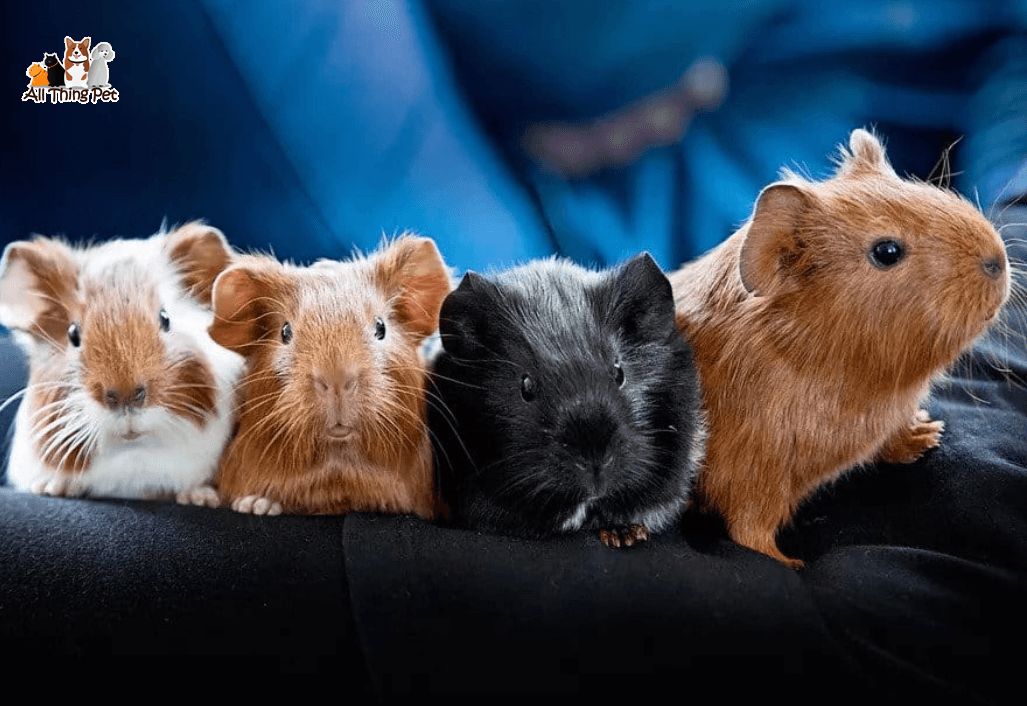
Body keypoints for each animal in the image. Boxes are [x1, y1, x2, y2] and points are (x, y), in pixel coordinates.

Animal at [670, 128, 1011, 568]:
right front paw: (791, 563)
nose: (998, 260)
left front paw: (926, 435)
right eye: (886, 251)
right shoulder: (752, 473)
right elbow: (750, 529)